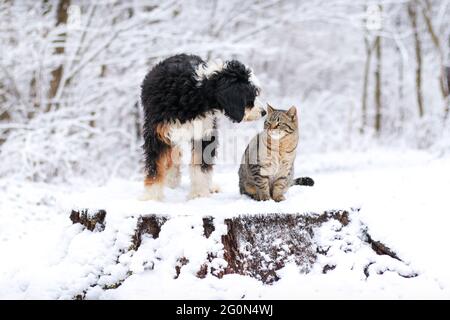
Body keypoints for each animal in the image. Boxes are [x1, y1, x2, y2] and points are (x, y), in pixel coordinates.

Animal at [139, 54, 264, 200]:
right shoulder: (157, 133)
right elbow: (156, 166)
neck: (196, 92)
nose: (264, 112)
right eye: (250, 96)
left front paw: (198, 194)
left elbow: (200, 165)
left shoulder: (204, 133)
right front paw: (152, 197)